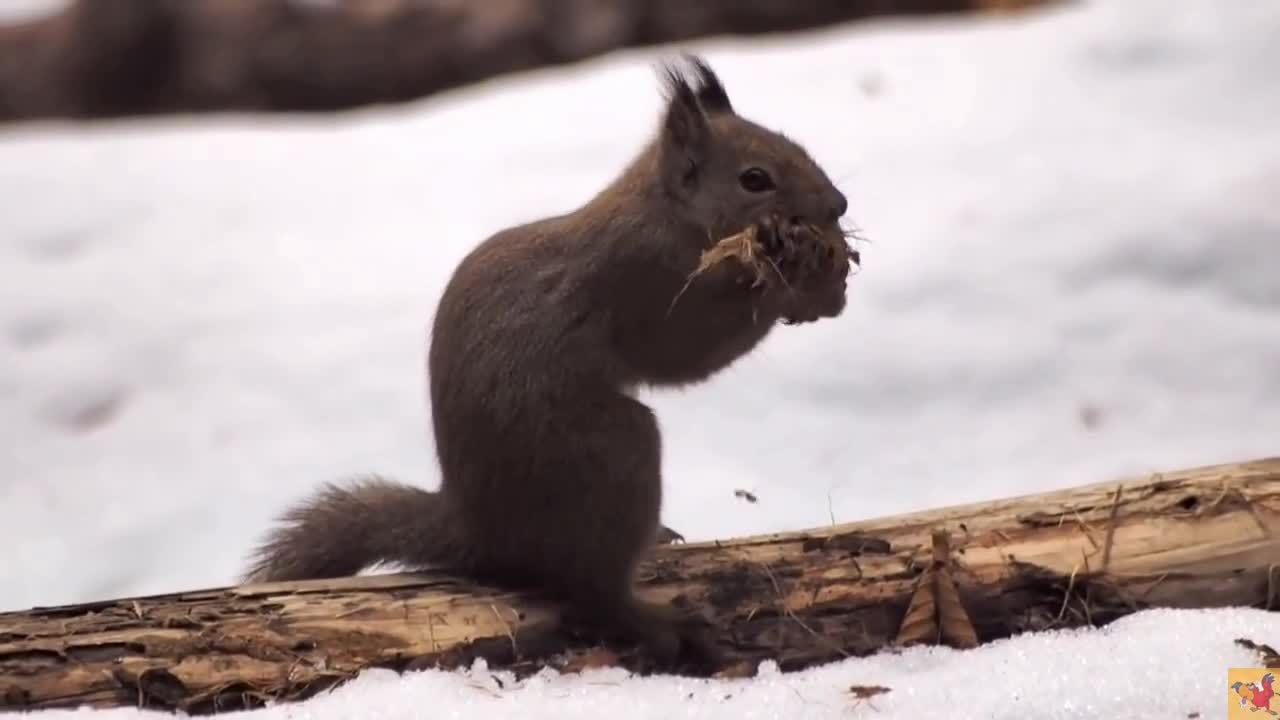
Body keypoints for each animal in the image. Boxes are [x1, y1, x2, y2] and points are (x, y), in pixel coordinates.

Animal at [244, 54, 855, 666]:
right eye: (755, 179)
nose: (839, 204)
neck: (665, 212)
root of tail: (480, 534)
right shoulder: (645, 281)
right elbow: (686, 350)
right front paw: (802, 290)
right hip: (609, 457)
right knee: (591, 590)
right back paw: (656, 623)